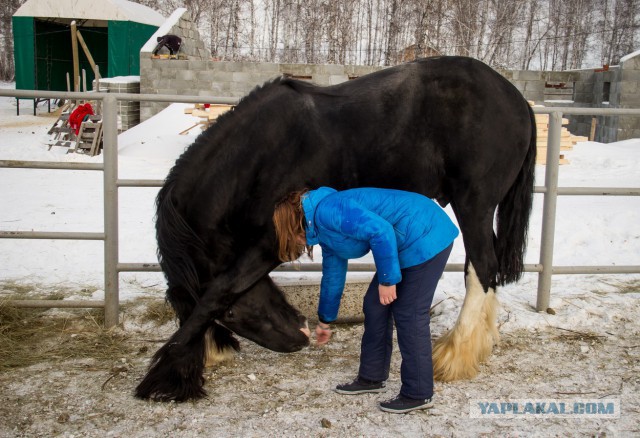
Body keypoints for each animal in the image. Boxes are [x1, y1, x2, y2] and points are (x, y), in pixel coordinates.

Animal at [136, 56, 536, 402]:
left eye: (232, 316)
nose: (299, 336)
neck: (256, 156)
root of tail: (517, 99)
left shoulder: (270, 244)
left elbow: (218, 291)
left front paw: (166, 374)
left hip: (474, 205)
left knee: (482, 267)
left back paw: (455, 355)